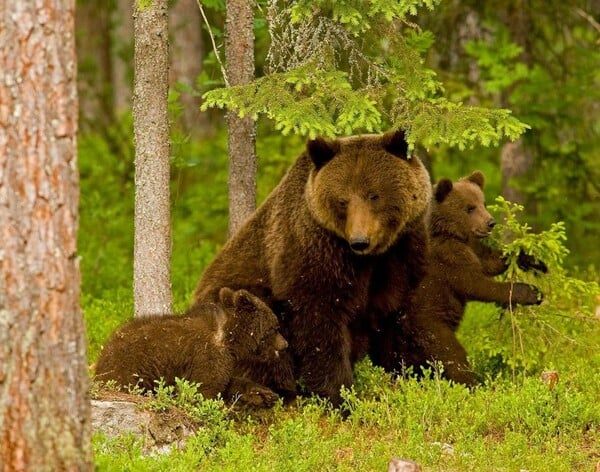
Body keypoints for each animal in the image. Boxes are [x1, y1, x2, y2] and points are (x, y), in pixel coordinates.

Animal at [192, 130, 432, 406]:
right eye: (342, 200)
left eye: (374, 195)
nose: (359, 241)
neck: (369, 259)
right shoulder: (314, 251)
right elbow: (318, 321)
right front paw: (338, 395)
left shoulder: (401, 254)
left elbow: (395, 314)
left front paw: (404, 373)